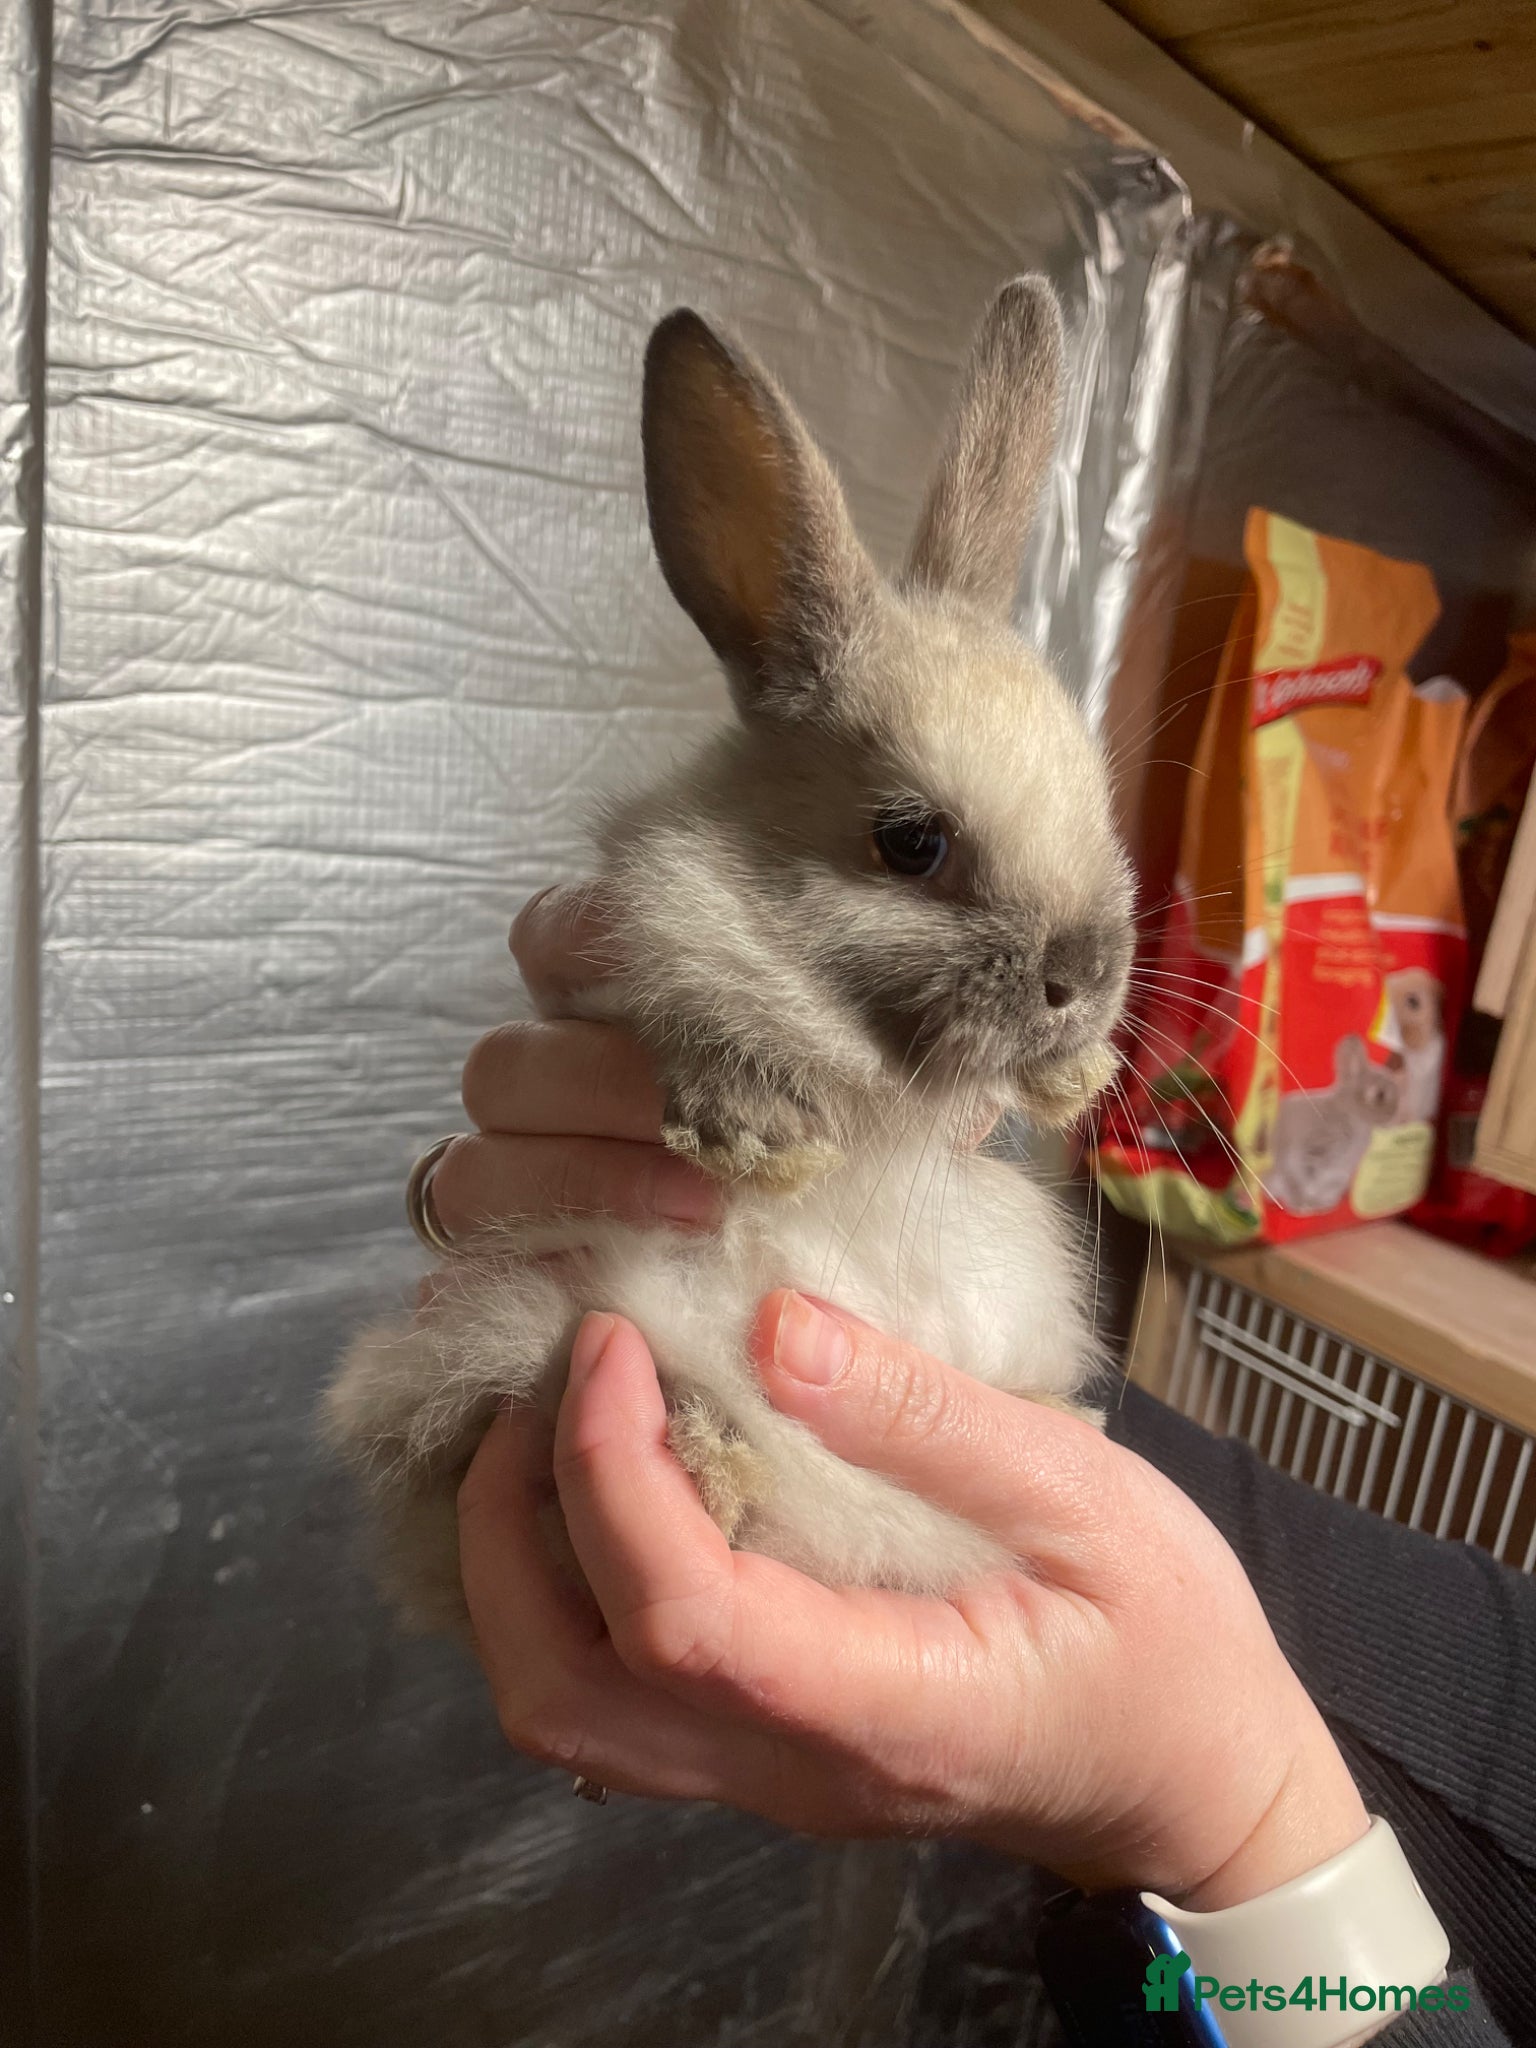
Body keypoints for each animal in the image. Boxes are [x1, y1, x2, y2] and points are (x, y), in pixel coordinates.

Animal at [326, 279, 1136, 1635]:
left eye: (1103, 804)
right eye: (912, 841)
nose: (1082, 977)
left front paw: (1077, 1078)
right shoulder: (655, 932)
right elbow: (701, 1018)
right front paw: (763, 1137)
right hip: (520, 1328)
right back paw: (714, 1463)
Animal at [1265, 1034, 1403, 1217]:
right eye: (1380, 1094)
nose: (1395, 1114)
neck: (1352, 1114)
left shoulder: (1337, 1175)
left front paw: (1322, 1205)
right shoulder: (1313, 1152)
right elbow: (1306, 1181)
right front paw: (1306, 1205)